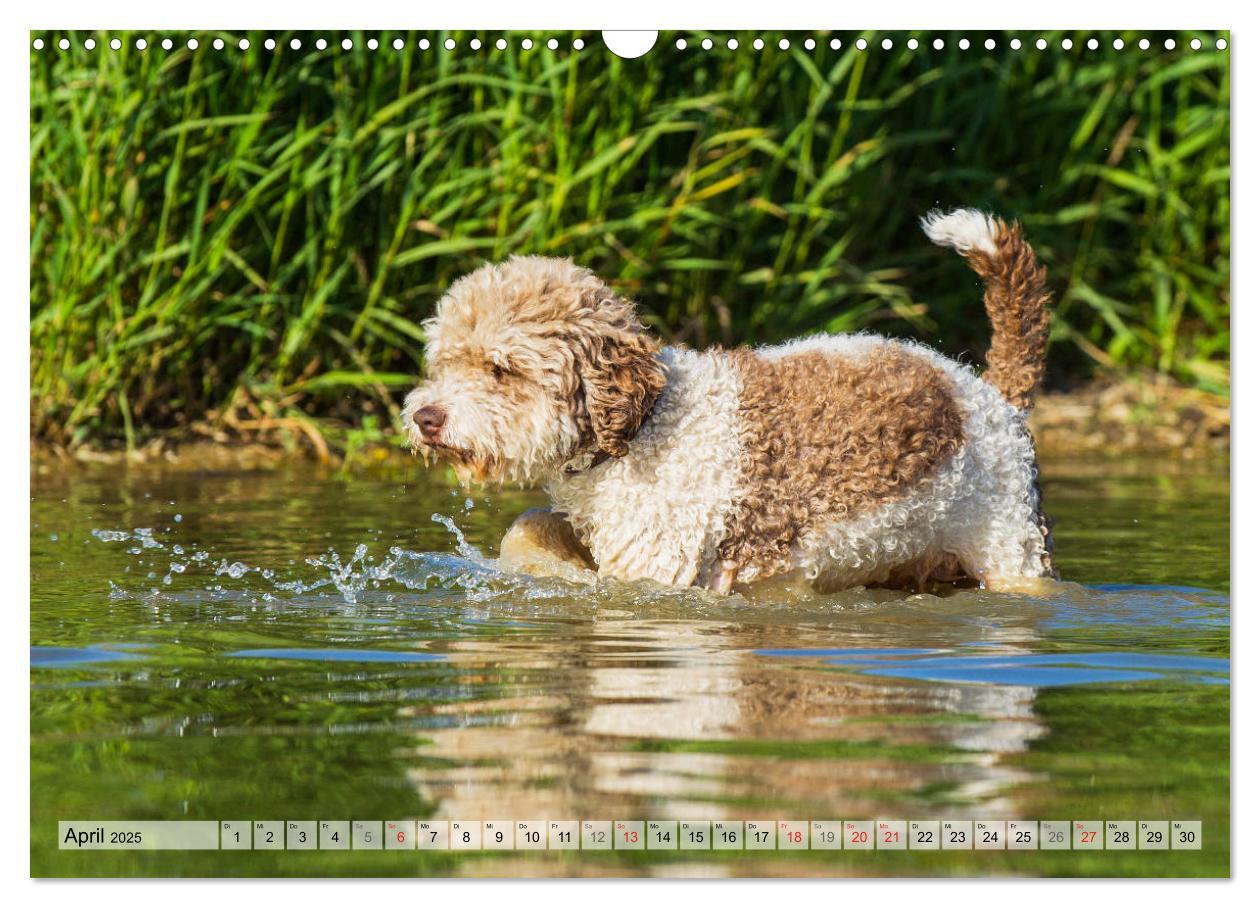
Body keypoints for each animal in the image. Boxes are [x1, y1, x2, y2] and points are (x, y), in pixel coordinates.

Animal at [400, 211, 1053, 594]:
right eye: (443, 362)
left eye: (500, 368)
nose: (425, 417)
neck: (643, 427)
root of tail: (986, 388)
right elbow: (528, 527)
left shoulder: (659, 572)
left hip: (1011, 543)